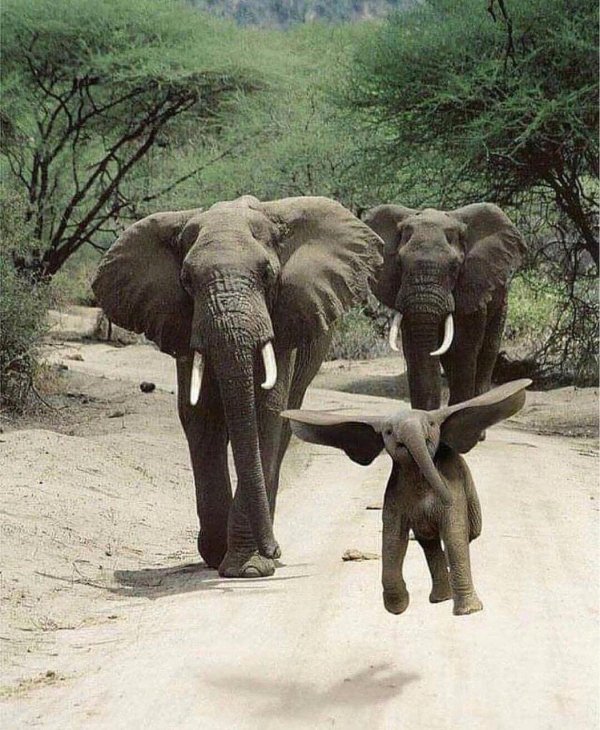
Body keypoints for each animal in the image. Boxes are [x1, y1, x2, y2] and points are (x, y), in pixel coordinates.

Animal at [91, 195, 383, 578]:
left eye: (268, 275)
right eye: (186, 280)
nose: (275, 549)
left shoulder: (284, 318)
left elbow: (264, 413)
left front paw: (248, 568)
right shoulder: (183, 323)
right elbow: (200, 417)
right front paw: (217, 554)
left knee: (283, 426)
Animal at [282, 379, 531, 616]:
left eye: (432, 424)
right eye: (388, 432)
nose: (445, 496)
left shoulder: (453, 486)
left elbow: (454, 533)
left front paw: (469, 612)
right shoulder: (394, 496)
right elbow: (392, 539)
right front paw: (397, 608)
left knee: (460, 537)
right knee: (429, 544)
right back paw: (440, 598)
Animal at [364, 203, 526, 410]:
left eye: (454, 267)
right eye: (399, 263)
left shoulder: (471, 288)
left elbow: (461, 350)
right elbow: (415, 350)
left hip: (501, 300)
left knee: (487, 353)